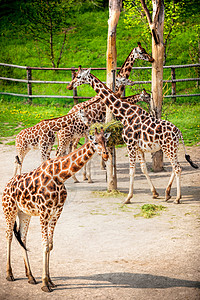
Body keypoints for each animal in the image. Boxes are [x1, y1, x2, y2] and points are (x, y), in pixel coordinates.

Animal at [1, 127, 110, 292]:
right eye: (95, 142)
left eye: (106, 141)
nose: (106, 154)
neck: (60, 176)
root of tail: (6, 186)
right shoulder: (44, 212)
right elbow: (45, 245)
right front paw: (45, 284)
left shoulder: (57, 211)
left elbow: (50, 245)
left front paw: (50, 281)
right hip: (9, 210)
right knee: (8, 236)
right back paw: (9, 274)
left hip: (24, 213)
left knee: (23, 238)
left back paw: (31, 277)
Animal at [57, 42, 154, 183]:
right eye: (142, 52)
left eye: (145, 50)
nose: (152, 59)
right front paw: (101, 172)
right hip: (71, 136)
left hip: (75, 136)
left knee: (70, 149)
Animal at [66, 67, 198, 205]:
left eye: (79, 76)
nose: (69, 86)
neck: (124, 114)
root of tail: (179, 132)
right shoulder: (138, 147)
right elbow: (143, 168)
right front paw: (155, 193)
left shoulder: (130, 145)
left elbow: (132, 171)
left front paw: (128, 198)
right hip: (171, 148)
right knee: (175, 167)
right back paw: (167, 194)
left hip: (169, 147)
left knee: (177, 168)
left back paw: (177, 198)